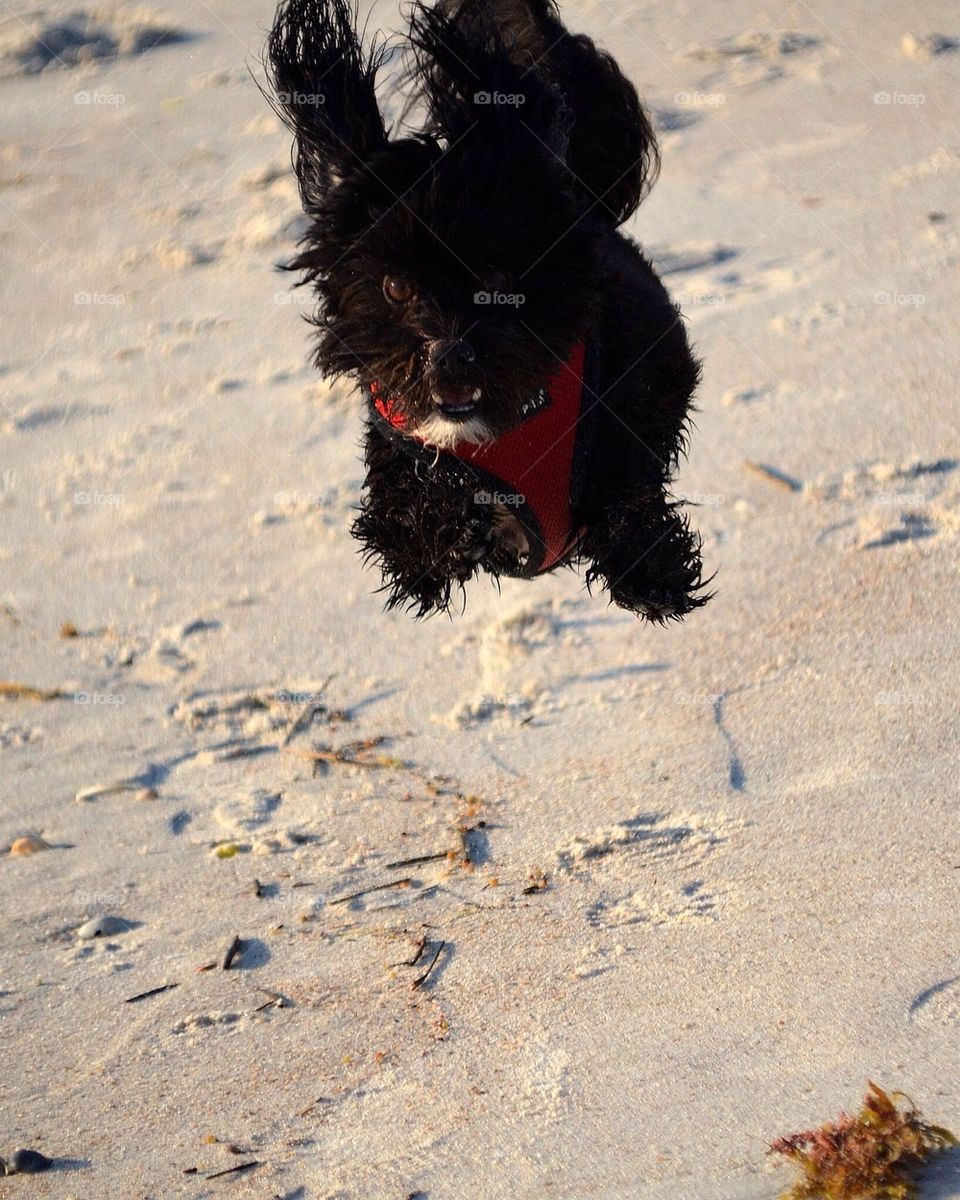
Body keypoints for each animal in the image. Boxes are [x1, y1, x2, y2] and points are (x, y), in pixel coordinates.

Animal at [266, 0, 710, 619]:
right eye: (396, 287)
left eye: (497, 278)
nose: (450, 354)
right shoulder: (406, 441)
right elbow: (406, 507)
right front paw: (431, 542)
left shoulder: (643, 377)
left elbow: (629, 471)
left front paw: (650, 568)